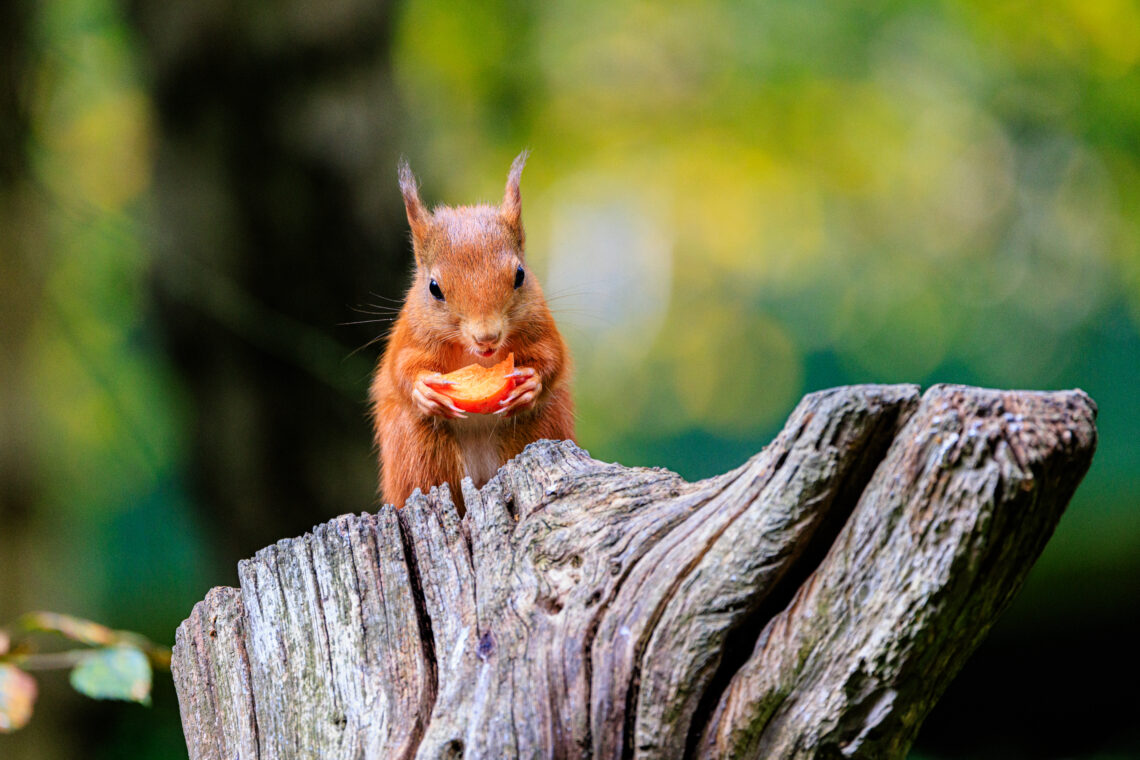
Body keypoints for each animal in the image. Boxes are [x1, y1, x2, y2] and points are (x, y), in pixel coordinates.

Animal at [369, 151, 574, 515]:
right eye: (434, 288)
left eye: (520, 275)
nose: (487, 337)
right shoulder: (410, 336)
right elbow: (401, 368)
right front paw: (424, 389)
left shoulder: (541, 325)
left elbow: (553, 357)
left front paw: (531, 383)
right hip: (421, 450)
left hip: (535, 429)